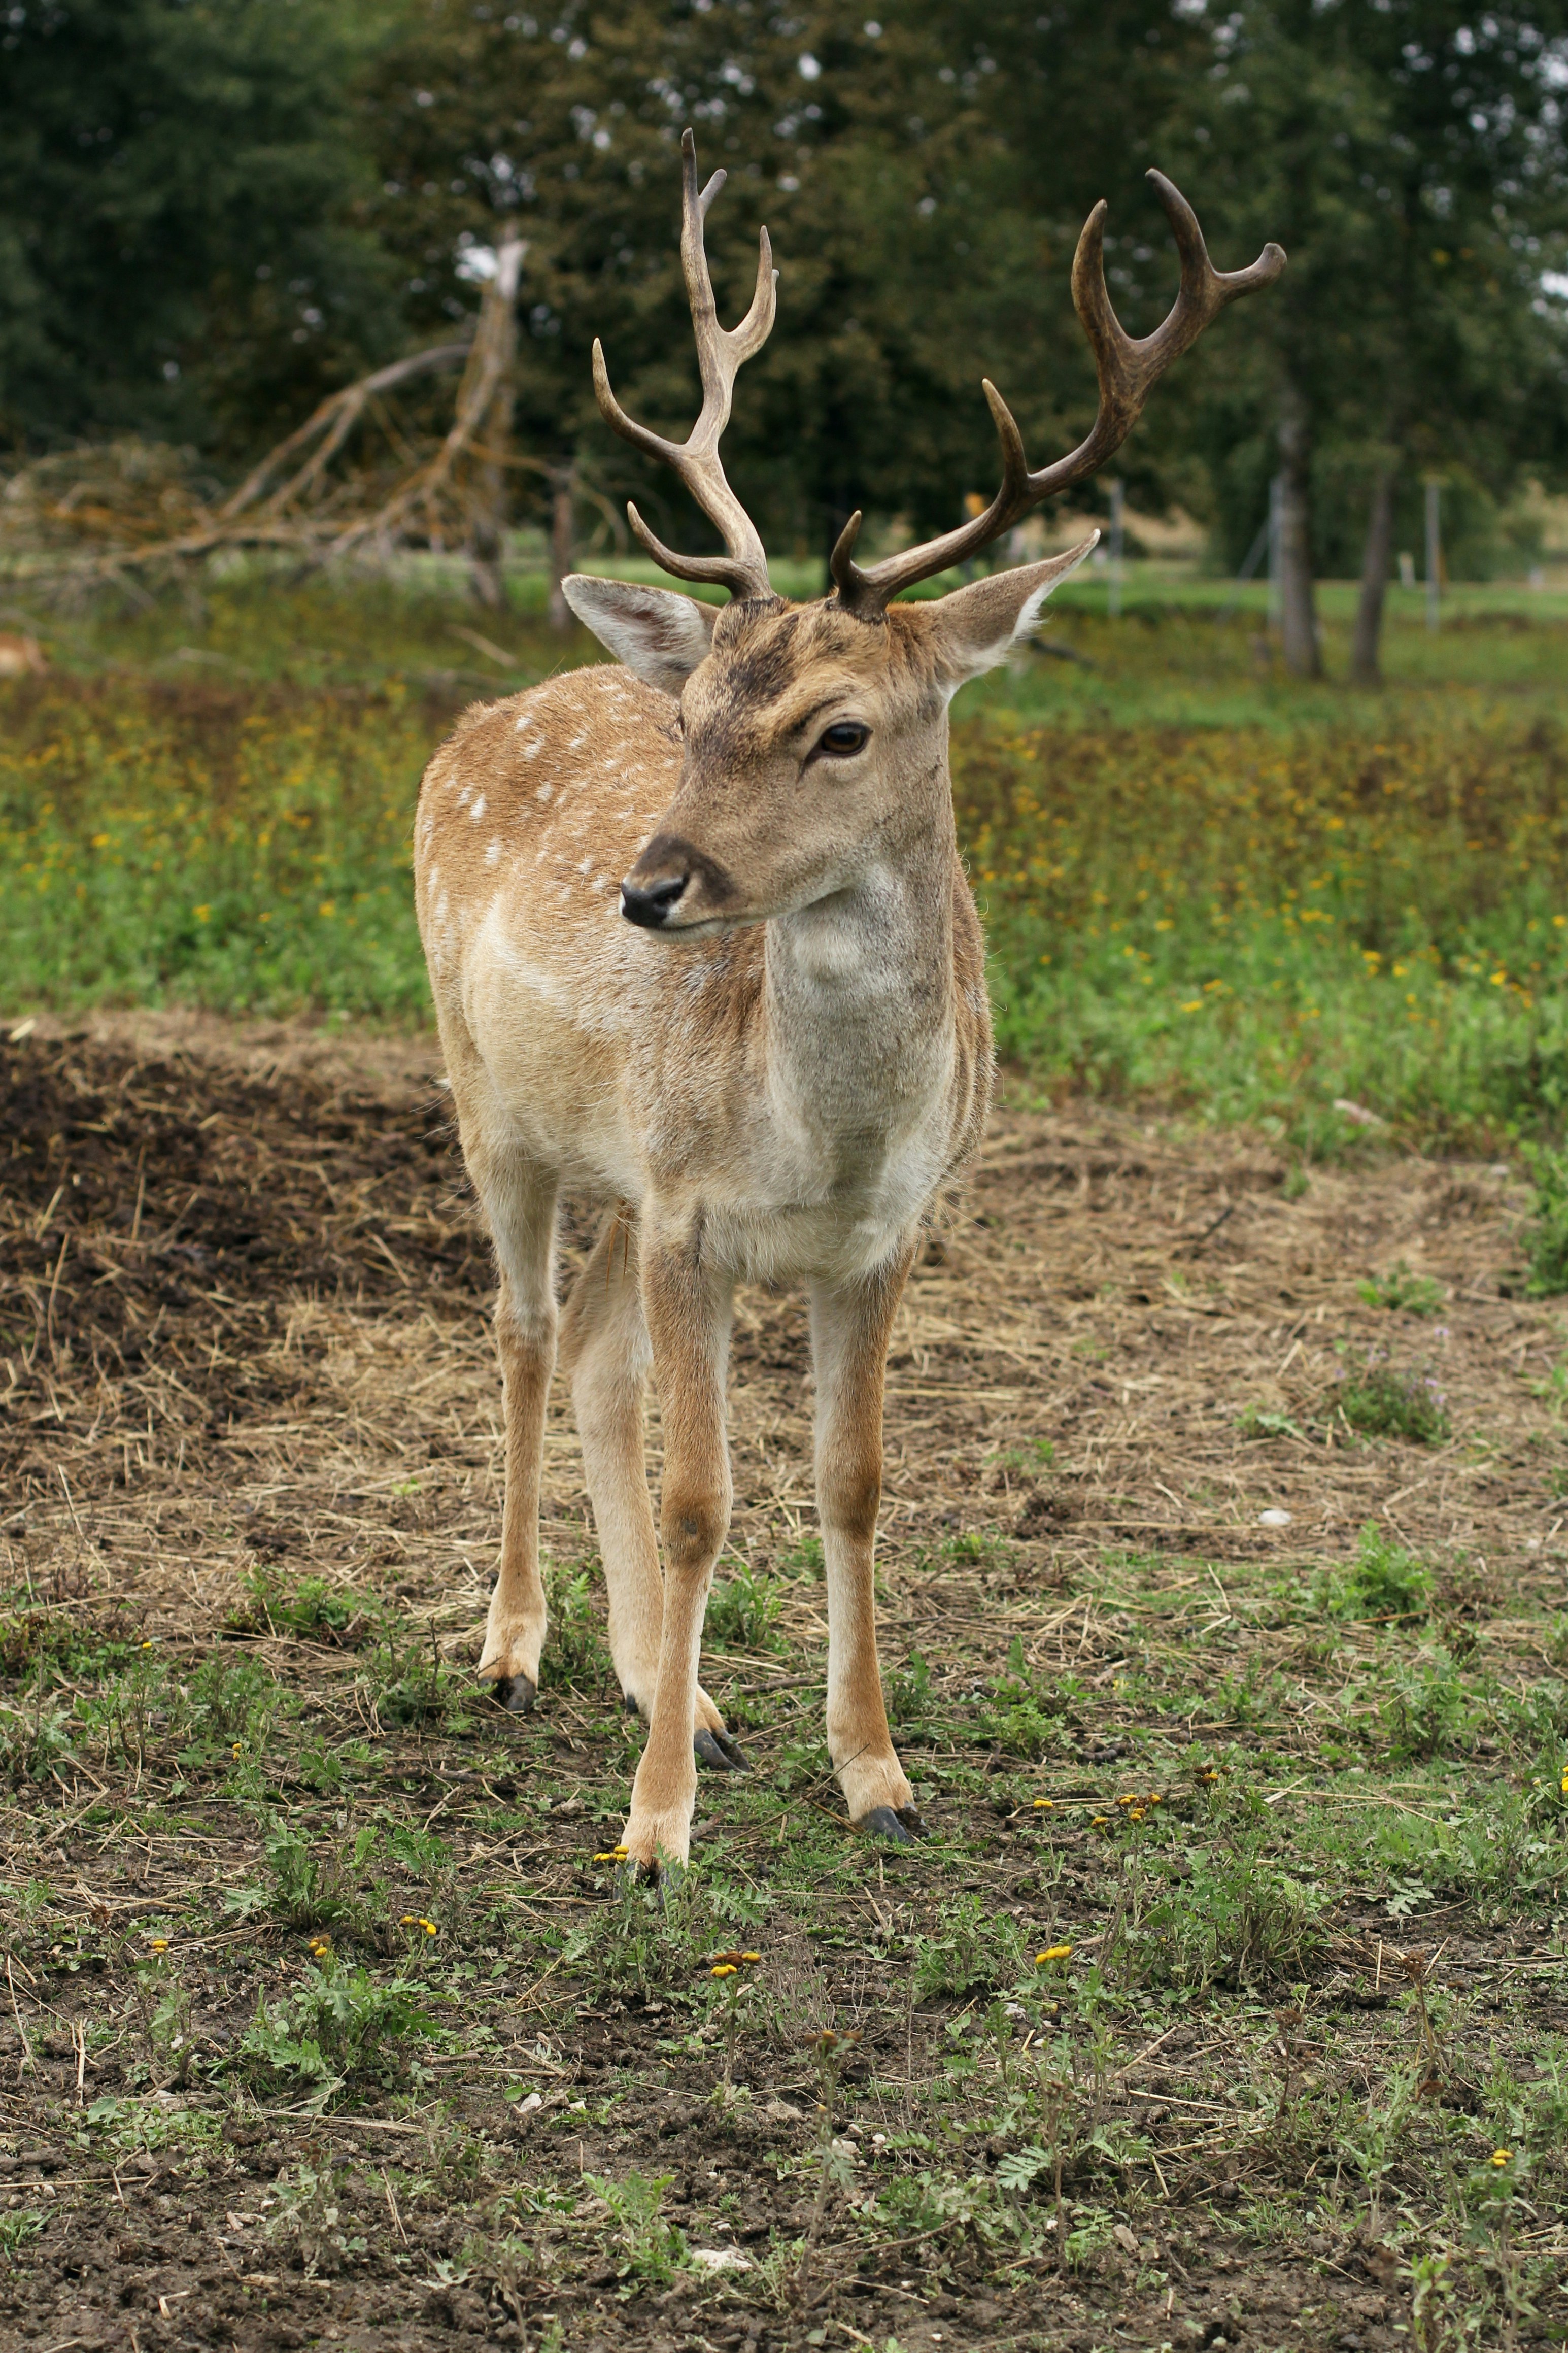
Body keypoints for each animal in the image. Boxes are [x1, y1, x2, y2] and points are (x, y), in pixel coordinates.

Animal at [414, 132, 1282, 1874]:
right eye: (692, 711)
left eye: (840, 727)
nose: (650, 889)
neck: (819, 1139)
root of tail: (477, 715)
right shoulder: (693, 1216)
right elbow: (704, 1500)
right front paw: (654, 1831)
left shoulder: (880, 1234)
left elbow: (853, 1481)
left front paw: (872, 1772)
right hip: (491, 1101)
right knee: (526, 1335)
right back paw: (514, 1648)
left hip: (618, 1170)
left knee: (595, 1359)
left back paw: (662, 1687)